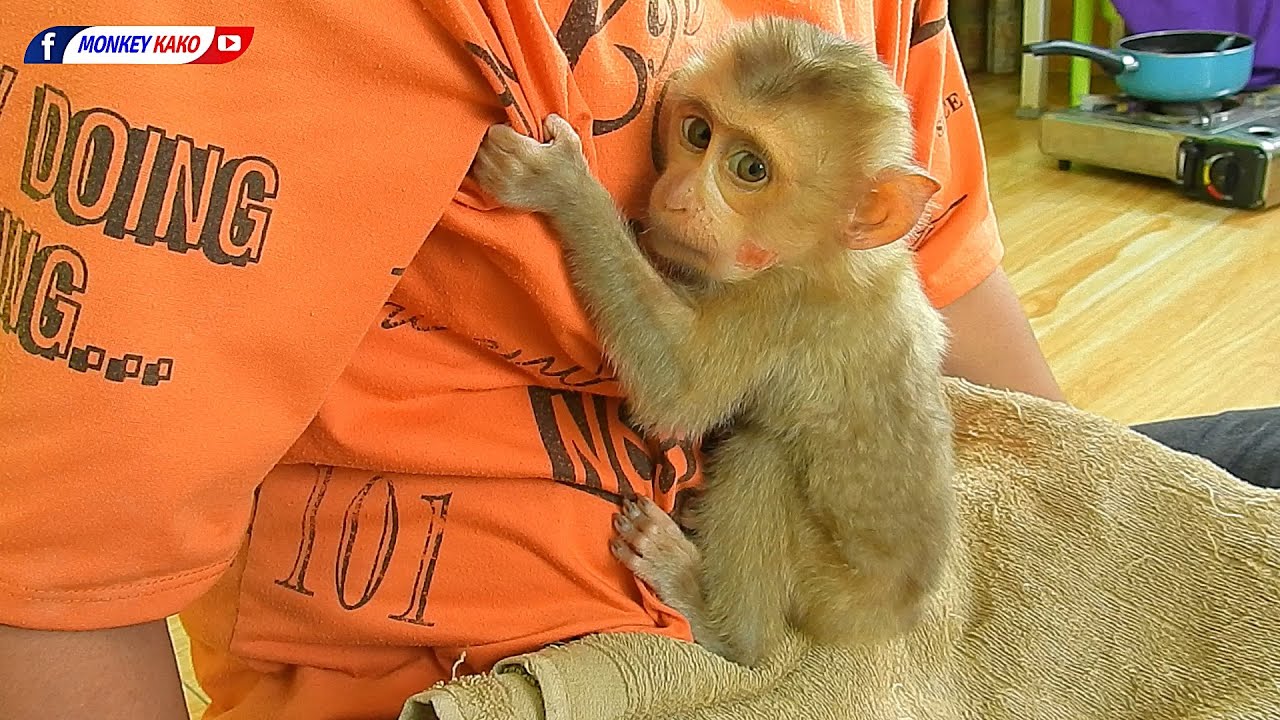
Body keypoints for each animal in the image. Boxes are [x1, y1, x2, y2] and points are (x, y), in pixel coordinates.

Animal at [469, 15, 957, 667]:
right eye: (698, 133)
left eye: (750, 169)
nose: (676, 196)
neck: (828, 255)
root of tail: (895, 612)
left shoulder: (779, 306)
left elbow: (681, 392)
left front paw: (562, 188)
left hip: (829, 587)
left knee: (763, 454)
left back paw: (720, 621)